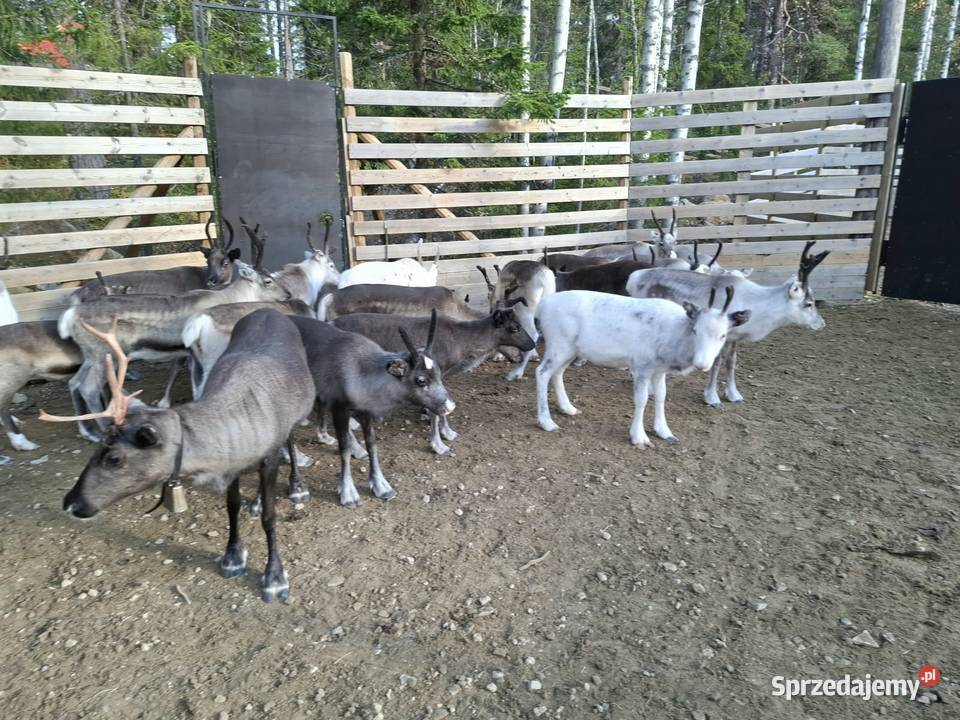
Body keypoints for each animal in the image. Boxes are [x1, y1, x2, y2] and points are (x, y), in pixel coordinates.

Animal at [41, 310, 314, 602]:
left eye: (114, 458)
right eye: (97, 447)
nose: (70, 503)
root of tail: (269, 310)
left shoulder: (269, 455)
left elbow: (270, 518)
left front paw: (274, 577)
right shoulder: (232, 465)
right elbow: (232, 506)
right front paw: (232, 556)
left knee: (291, 438)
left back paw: (297, 485)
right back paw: (258, 501)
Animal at [535, 287, 750, 447]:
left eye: (723, 335)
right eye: (695, 330)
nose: (702, 364)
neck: (674, 338)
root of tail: (541, 306)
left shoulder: (660, 370)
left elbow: (661, 395)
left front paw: (665, 431)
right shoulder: (641, 366)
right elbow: (641, 399)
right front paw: (639, 437)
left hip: (570, 349)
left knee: (558, 373)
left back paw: (568, 408)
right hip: (558, 343)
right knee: (542, 372)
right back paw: (547, 422)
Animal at [626, 240, 830, 406]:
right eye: (809, 303)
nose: (821, 324)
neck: (759, 306)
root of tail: (633, 277)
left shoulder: (734, 337)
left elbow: (732, 362)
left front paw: (734, 394)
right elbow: (716, 364)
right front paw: (711, 397)